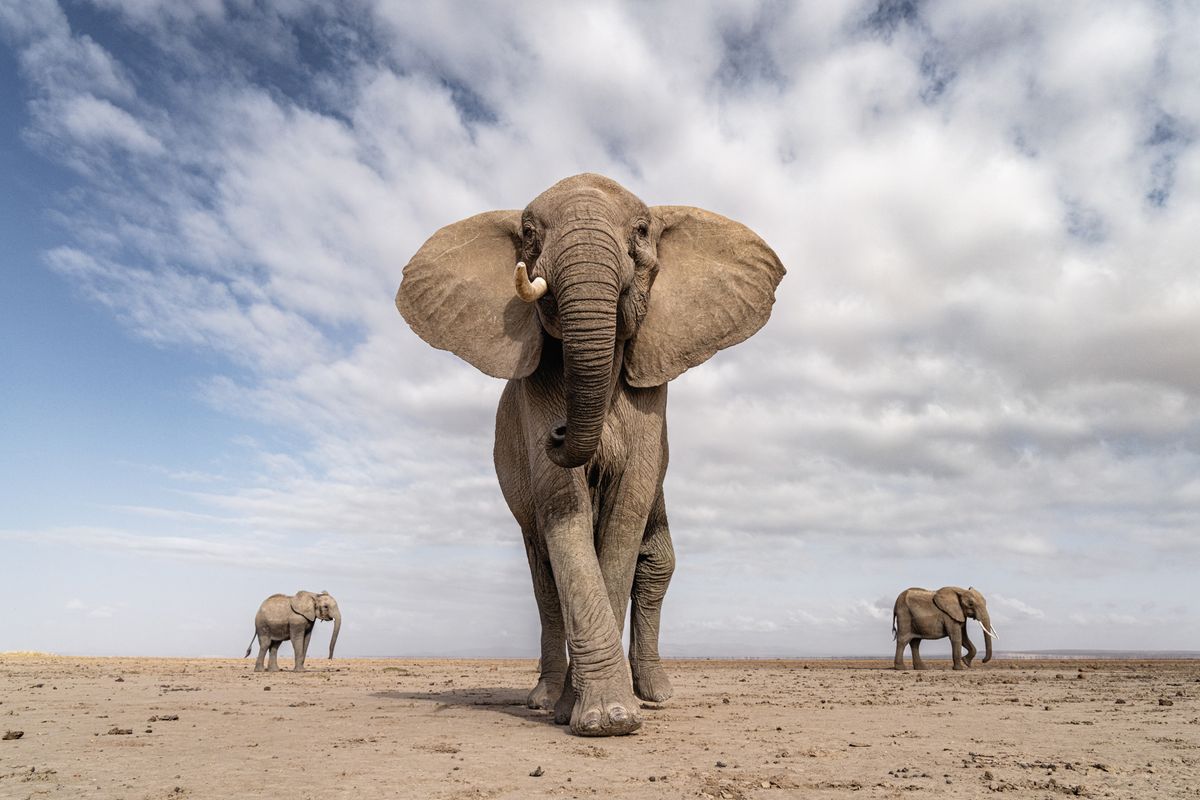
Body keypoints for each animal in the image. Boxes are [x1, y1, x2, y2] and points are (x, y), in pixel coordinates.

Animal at [396, 172, 787, 734]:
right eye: (529, 234)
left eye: (642, 231)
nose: (559, 434)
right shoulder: (535, 392)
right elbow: (565, 508)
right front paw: (596, 716)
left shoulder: (653, 393)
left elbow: (625, 516)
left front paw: (611, 714)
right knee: (543, 575)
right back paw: (544, 701)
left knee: (656, 562)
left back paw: (655, 695)